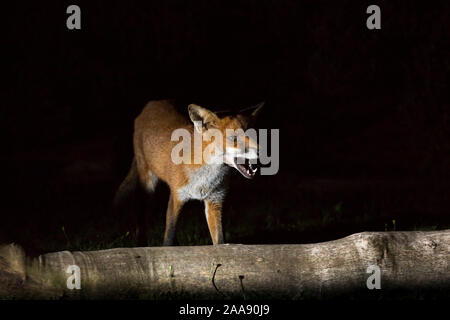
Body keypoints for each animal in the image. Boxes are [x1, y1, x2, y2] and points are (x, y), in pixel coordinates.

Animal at [114, 99, 262, 245]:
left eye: (254, 135)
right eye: (233, 138)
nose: (261, 152)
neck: (205, 178)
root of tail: (152, 103)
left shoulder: (215, 200)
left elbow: (219, 241)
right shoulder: (177, 197)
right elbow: (168, 238)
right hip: (148, 185)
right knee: (141, 217)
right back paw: (141, 243)